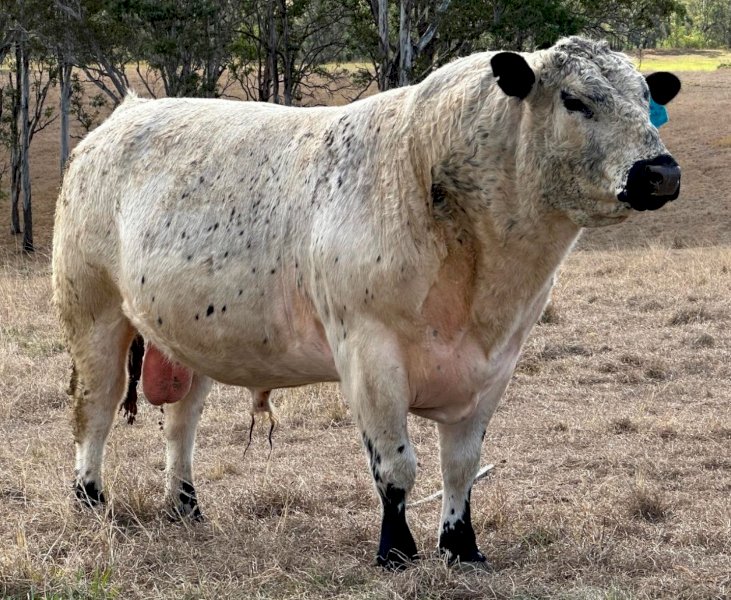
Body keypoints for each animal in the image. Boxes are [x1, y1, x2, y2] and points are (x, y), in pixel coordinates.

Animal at [52, 36, 681, 570]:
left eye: (647, 100)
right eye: (575, 100)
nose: (660, 172)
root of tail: (123, 115)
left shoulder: (495, 366)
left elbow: (461, 466)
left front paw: (461, 546)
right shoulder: (369, 351)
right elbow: (397, 466)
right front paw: (396, 550)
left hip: (190, 335)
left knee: (181, 421)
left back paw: (185, 505)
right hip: (93, 314)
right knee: (94, 409)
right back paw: (90, 500)